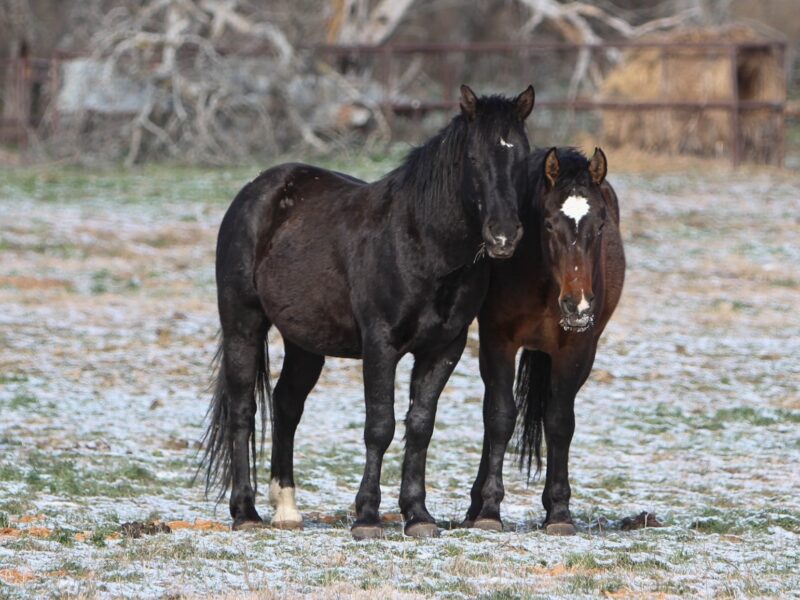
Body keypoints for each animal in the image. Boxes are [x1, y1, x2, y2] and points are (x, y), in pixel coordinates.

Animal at [202, 83, 536, 540]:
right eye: (473, 158)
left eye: (521, 155)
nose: (503, 235)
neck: (421, 242)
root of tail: (257, 190)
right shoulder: (381, 346)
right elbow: (380, 426)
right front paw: (367, 517)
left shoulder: (442, 349)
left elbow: (420, 426)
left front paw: (418, 515)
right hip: (243, 323)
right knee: (242, 410)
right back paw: (246, 513)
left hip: (306, 343)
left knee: (287, 406)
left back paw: (286, 510)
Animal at [462, 145, 624, 536]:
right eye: (549, 223)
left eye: (600, 225)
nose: (578, 305)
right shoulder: (498, 342)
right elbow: (500, 417)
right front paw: (489, 509)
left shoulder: (576, 351)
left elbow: (560, 422)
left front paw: (560, 512)